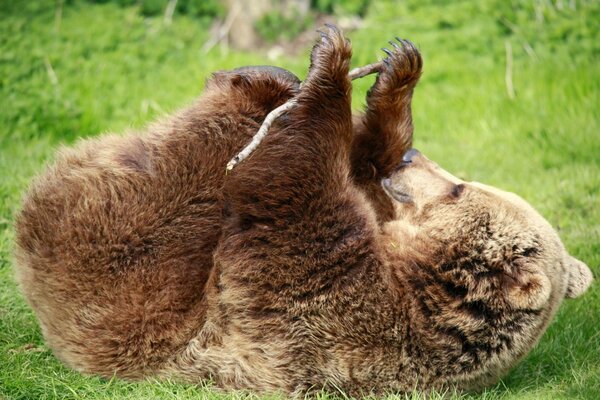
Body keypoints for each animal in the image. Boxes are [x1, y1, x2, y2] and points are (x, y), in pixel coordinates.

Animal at [12, 25, 592, 396]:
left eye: (458, 189)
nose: (412, 159)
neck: (414, 277)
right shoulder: (375, 228)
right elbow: (359, 168)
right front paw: (397, 73)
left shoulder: (325, 310)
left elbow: (290, 192)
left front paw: (332, 64)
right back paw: (269, 76)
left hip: (123, 277)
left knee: (186, 177)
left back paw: (255, 85)